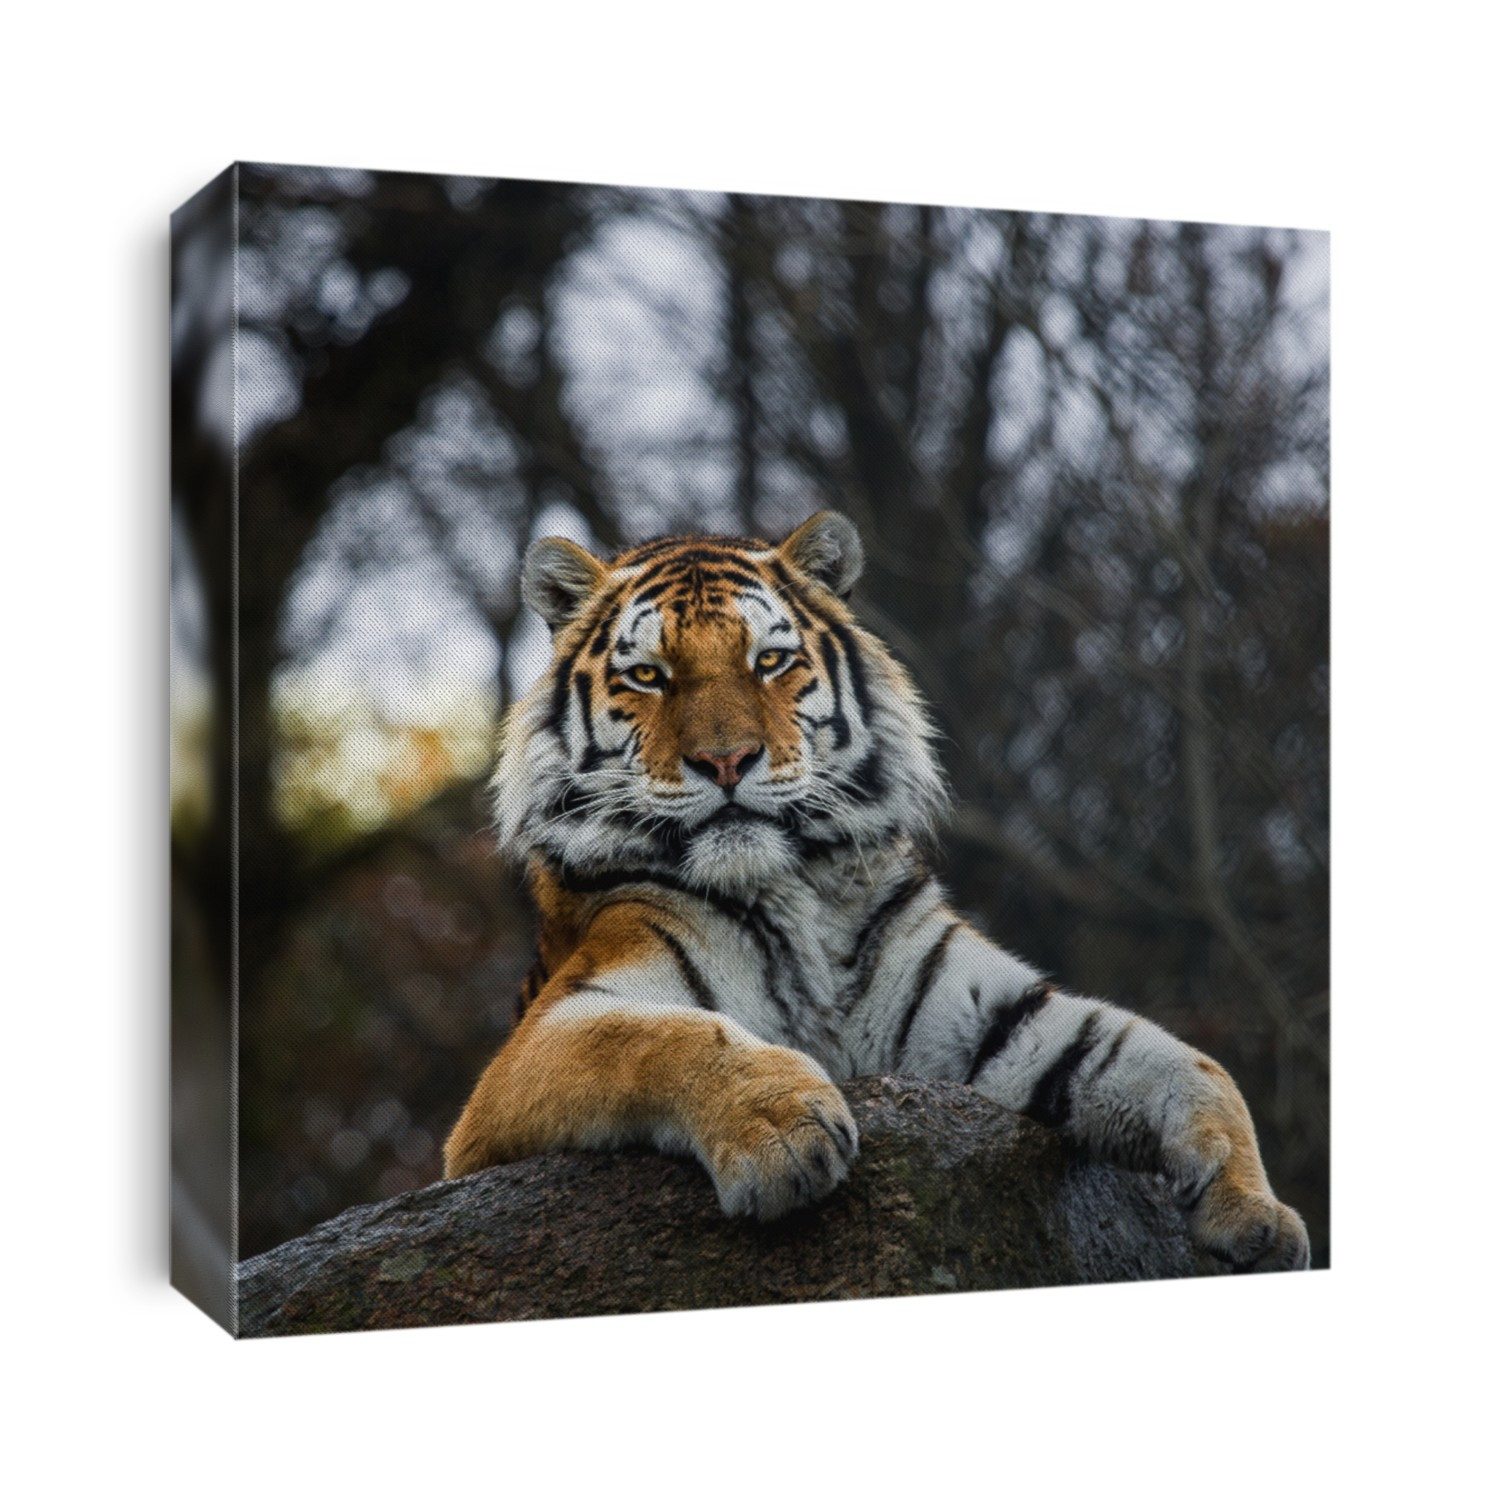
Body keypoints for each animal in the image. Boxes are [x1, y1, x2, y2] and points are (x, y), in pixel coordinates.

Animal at [443, 511, 1311, 1272]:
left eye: (768, 662)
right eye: (649, 677)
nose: (727, 761)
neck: (793, 891)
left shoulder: (989, 1015)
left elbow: (1182, 1062)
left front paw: (1258, 1213)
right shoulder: (538, 1048)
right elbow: (665, 1036)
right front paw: (784, 1130)